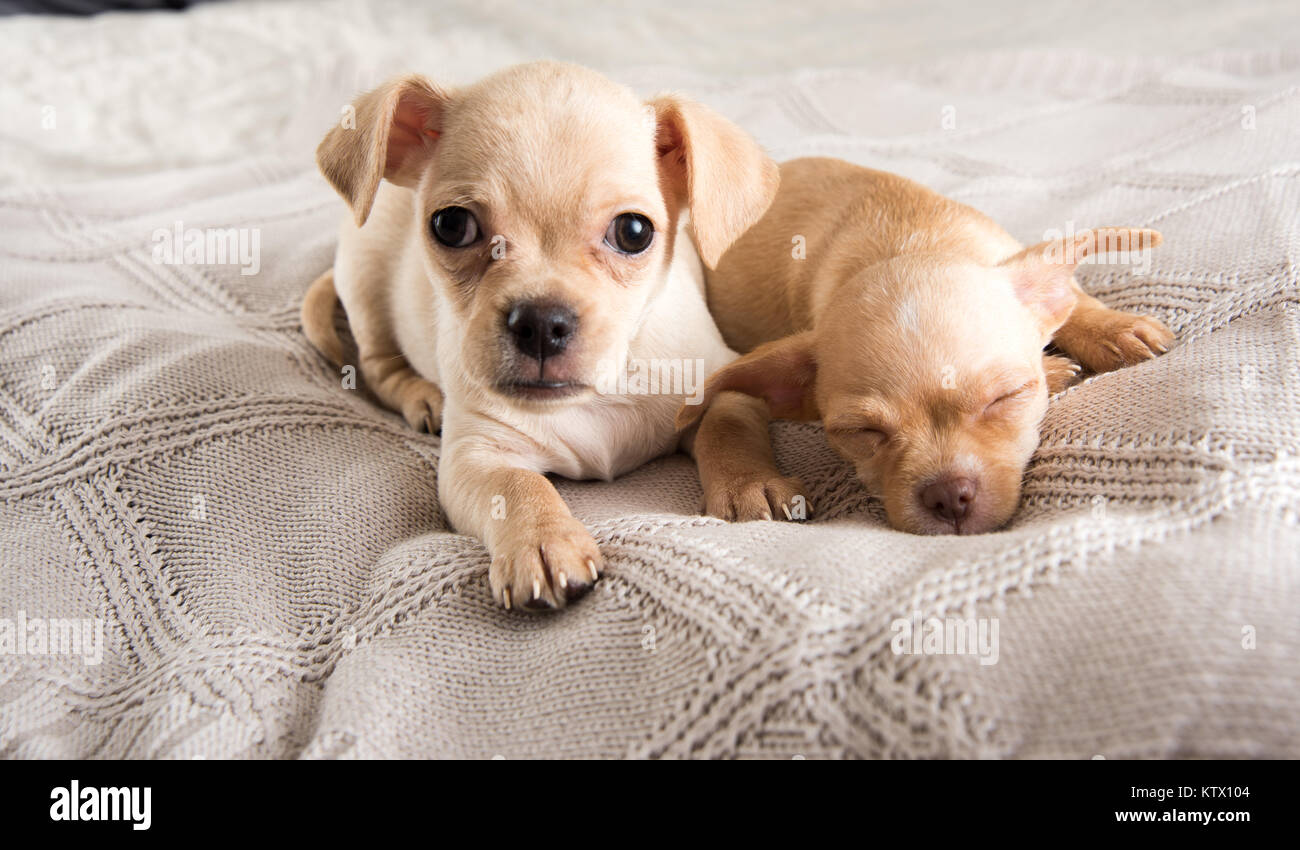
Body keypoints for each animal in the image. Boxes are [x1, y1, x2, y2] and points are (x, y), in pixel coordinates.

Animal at [301, 64, 780, 613]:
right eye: (451, 225)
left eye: (634, 232)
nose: (541, 322)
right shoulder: (476, 457)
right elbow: (518, 485)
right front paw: (543, 543)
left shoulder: (723, 378)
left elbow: (729, 425)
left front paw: (751, 486)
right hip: (365, 278)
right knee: (379, 365)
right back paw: (422, 397)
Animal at [676, 156, 1175, 535]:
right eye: (862, 432)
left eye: (1005, 398)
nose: (948, 496)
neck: (908, 244)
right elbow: (725, 417)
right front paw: (747, 484)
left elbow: (1068, 294)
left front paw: (1113, 326)